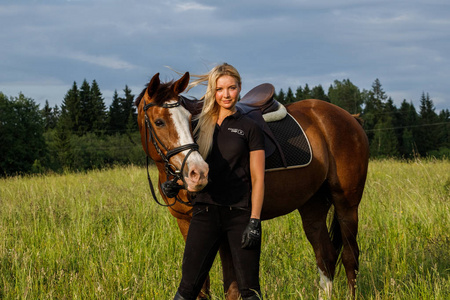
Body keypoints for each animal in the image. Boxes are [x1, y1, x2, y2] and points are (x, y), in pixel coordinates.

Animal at [135, 72, 370, 298]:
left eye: (190, 119)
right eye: (159, 122)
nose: (198, 173)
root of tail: (349, 117)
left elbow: (231, 286)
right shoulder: (186, 223)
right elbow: (201, 286)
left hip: (347, 205)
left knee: (350, 257)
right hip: (312, 205)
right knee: (326, 256)